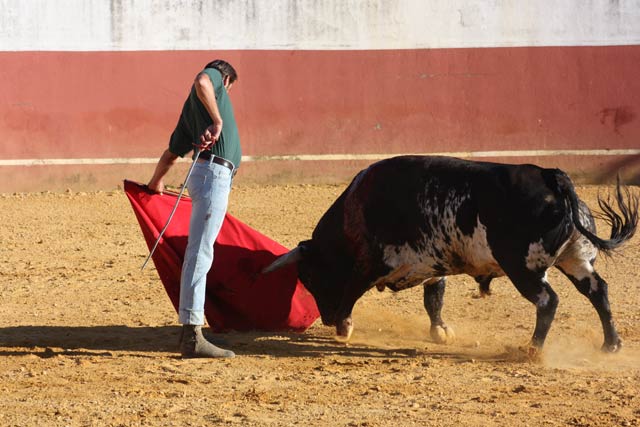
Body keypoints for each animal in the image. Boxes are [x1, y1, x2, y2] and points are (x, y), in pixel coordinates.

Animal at [262, 155, 636, 352]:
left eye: (309, 278)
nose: (325, 319)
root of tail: (551, 176)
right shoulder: (433, 263)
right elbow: (434, 299)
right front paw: (440, 331)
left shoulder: (372, 261)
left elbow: (353, 291)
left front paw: (344, 327)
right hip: (576, 258)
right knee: (598, 290)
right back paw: (611, 344)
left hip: (524, 266)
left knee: (548, 300)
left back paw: (532, 349)